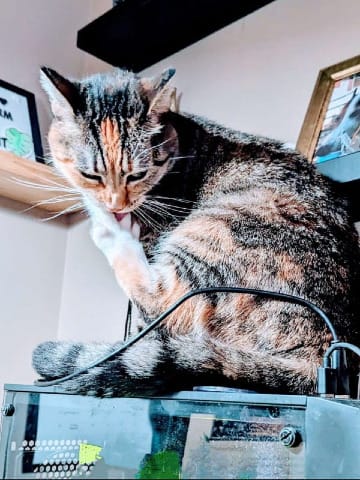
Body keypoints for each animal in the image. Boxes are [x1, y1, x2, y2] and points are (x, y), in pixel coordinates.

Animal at [32, 67, 358, 398]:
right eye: (89, 174)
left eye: (137, 174)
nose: (115, 205)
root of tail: (321, 357)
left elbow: (147, 316)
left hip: (220, 229)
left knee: (161, 299)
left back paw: (110, 230)